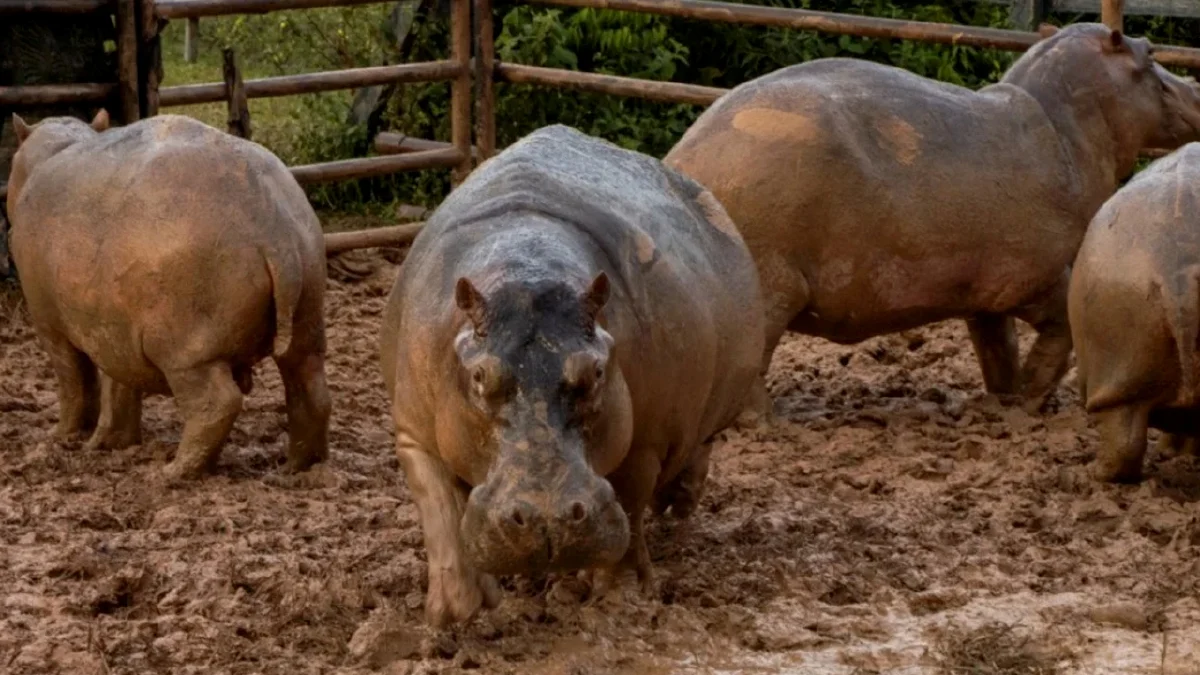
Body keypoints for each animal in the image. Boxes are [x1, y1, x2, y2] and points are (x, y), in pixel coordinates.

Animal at [8, 110, 333, 478]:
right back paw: (295, 468)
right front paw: (110, 443)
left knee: (217, 403)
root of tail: (274, 229)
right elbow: (117, 387)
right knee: (311, 390)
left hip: (185, 350)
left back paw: (170, 472)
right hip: (307, 315)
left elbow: (74, 380)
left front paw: (61, 437)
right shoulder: (112, 330)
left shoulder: (51, 325)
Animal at [379, 121, 763, 624]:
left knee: (696, 449)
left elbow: (629, 506)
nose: (548, 519)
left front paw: (621, 598)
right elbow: (441, 512)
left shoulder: (644, 440)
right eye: (479, 376)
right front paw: (457, 613)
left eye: (596, 371)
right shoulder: (414, 433)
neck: (525, 267)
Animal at [662, 23, 1200, 415]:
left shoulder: (985, 296)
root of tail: (681, 160)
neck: (1067, 127)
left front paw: (1003, 403)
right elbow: (1060, 333)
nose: (1196, 86)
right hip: (771, 286)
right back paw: (765, 422)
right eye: (1149, 53)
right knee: (752, 365)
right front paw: (1029, 402)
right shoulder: (1037, 276)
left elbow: (997, 348)